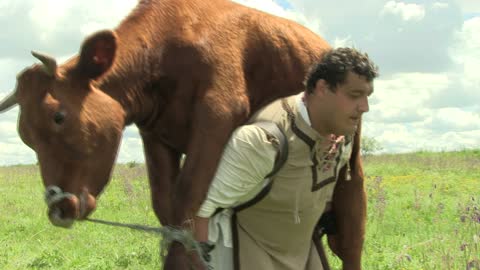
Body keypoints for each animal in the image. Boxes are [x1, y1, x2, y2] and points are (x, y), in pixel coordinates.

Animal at [0, 0, 368, 270]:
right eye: (26, 137)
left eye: (59, 116)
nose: (59, 209)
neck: (164, 52)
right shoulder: (155, 135)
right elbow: (167, 208)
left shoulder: (218, 115)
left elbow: (188, 200)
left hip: (352, 166)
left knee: (350, 235)